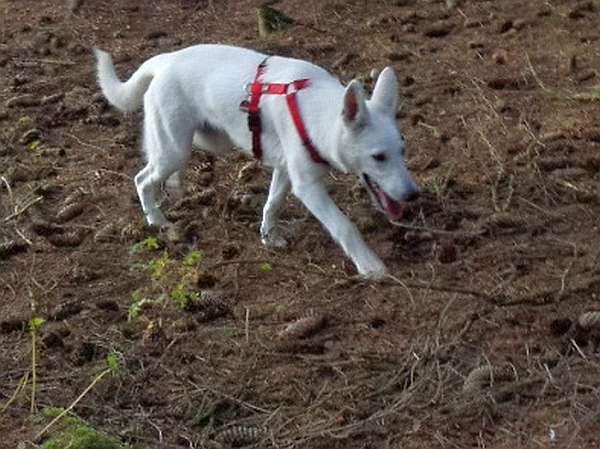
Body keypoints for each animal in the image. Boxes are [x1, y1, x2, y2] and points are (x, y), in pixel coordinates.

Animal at [96, 43, 420, 278]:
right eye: (378, 157)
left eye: (403, 150)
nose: (413, 195)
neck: (317, 116)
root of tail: (165, 59)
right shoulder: (307, 186)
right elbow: (344, 226)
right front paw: (370, 266)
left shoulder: (285, 170)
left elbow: (272, 203)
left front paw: (268, 236)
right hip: (175, 149)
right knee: (142, 178)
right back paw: (156, 219)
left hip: (204, 141)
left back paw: (174, 187)